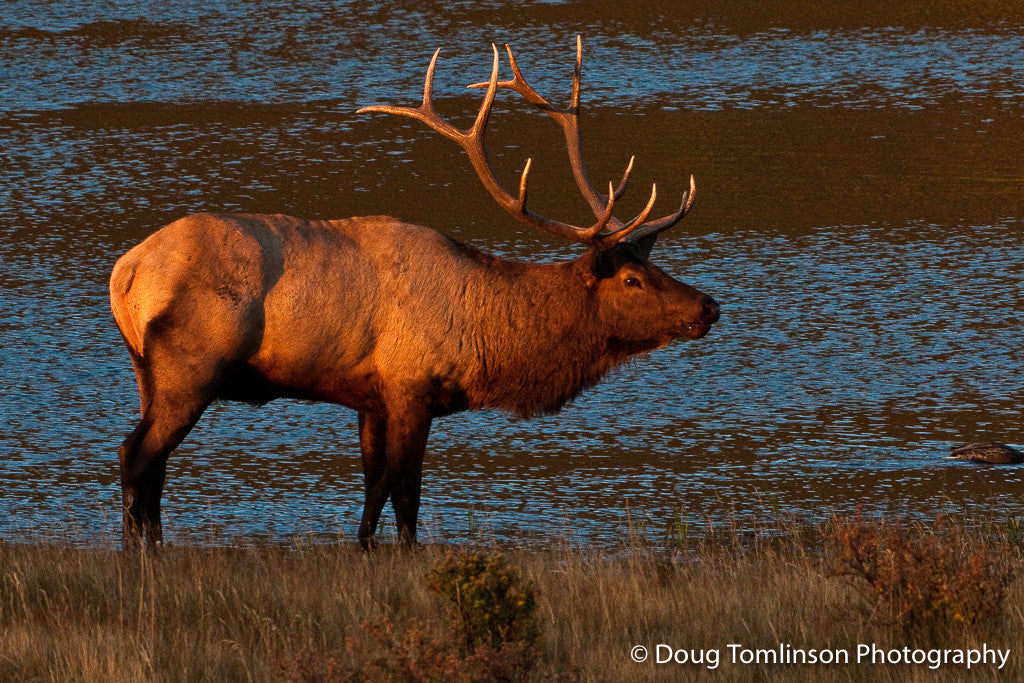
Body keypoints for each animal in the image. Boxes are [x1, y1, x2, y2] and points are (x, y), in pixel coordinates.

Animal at [109, 36, 720, 549]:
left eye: (653, 265)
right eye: (632, 280)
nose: (709, 306)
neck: (486, 331)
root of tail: (125, 274)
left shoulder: (369, 397)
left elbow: (373, 489)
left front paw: (363, 548)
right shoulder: (410, 385)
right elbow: (406, 492)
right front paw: (408, 556)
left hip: (145, 370)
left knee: (149, 462)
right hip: (191, 365)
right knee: (138, 455)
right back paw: (144, 552)